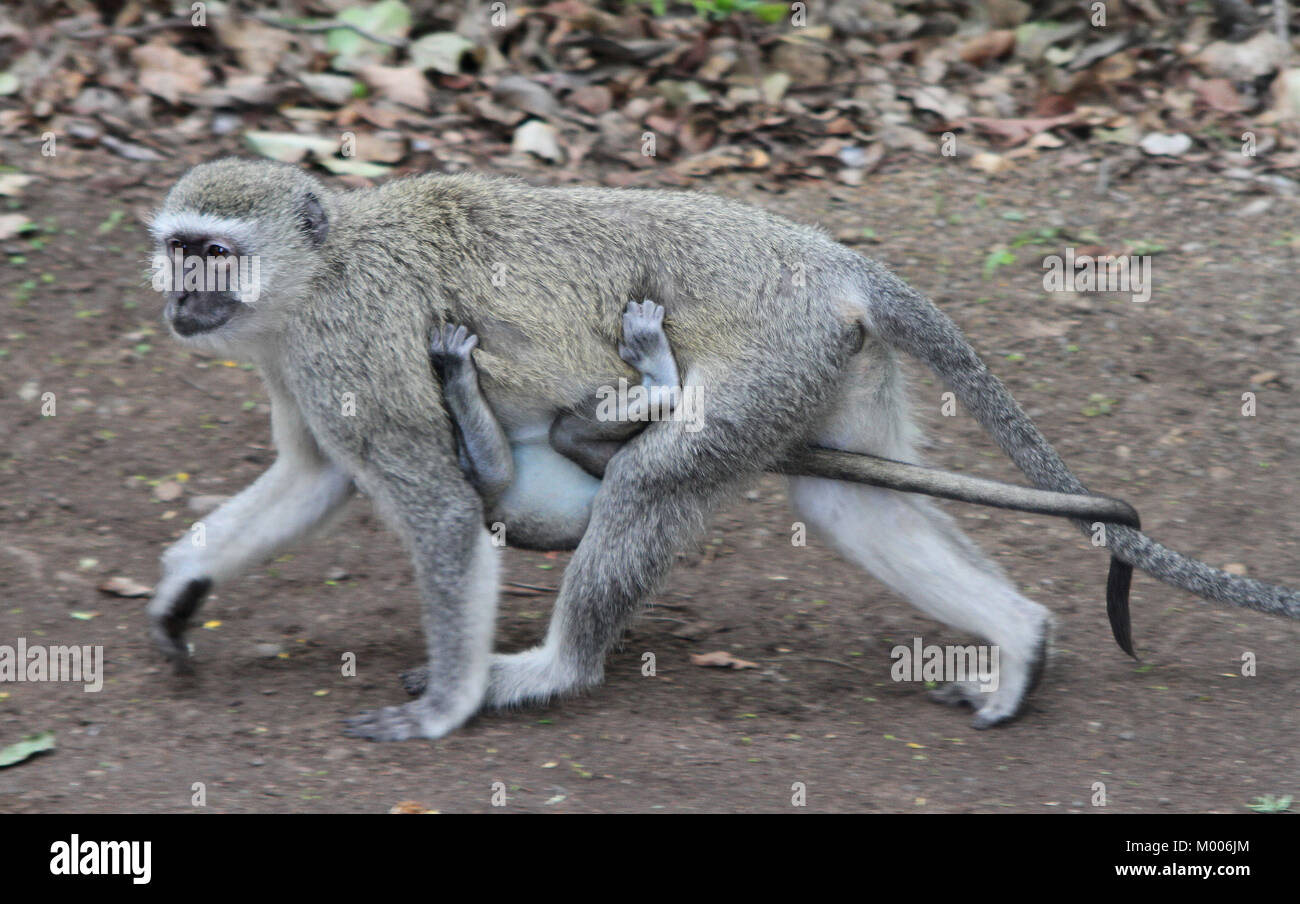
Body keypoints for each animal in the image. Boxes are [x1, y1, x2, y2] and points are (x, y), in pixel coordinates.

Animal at [145, 157, 1299, 740]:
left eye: (214, 253)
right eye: (179, 249)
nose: (180, 300)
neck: (319, 274)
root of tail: (828, 260)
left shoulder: (345, 347)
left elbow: (433, 510)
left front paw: (445, 707)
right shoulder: (298, 365)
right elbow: (312, 480)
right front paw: (182, 587)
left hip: (768, 357)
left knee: (652, 476)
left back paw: (552, 670)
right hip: (831, 366)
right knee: (850, 504)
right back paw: (1017, 644)